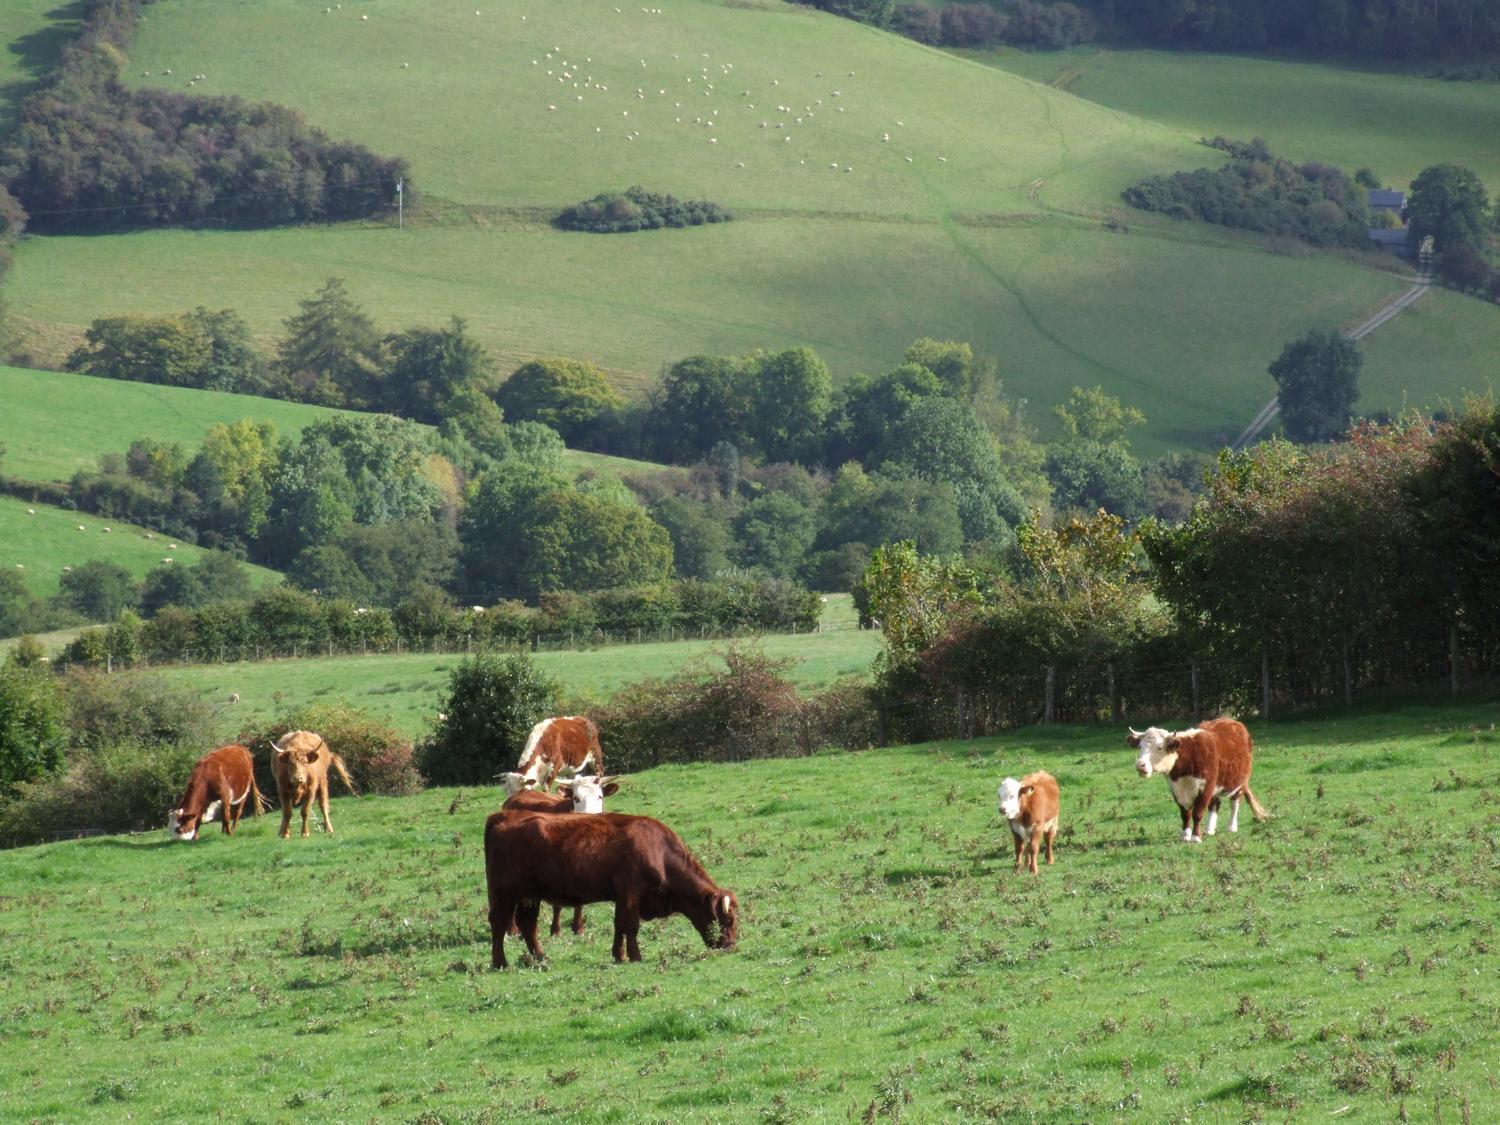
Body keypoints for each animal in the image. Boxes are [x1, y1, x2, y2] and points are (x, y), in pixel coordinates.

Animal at [483, 810, 735, 972]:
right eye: (727, 920)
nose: (731, 946)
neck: (659, 851)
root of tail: (502, 816)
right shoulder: (630, 892)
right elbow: (630, 926)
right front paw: (635, 956)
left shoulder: (621, 897)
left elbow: (619, 926)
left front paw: (619, 955)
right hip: (505, 894)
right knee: (499, 923)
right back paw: (500, 963)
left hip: (529, 896)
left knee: (527, 925)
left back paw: (541, 958)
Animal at [504, 774, 621, 942]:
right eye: (576, 798)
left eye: (600, 796)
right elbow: (557, 904)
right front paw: (555, 930)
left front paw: (578, 928)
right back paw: (513, 929)